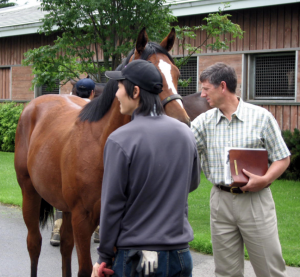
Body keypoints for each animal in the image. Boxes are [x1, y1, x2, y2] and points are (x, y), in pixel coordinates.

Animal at [14, 27, 190, 276]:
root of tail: (34, 105)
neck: (101, 145)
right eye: (151, 76)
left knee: (65, 246)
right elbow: (86, 268)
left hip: (64, 206)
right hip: (30, 192)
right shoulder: (82, 218)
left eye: (175, 73)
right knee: (34, 243)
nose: (182, 123)